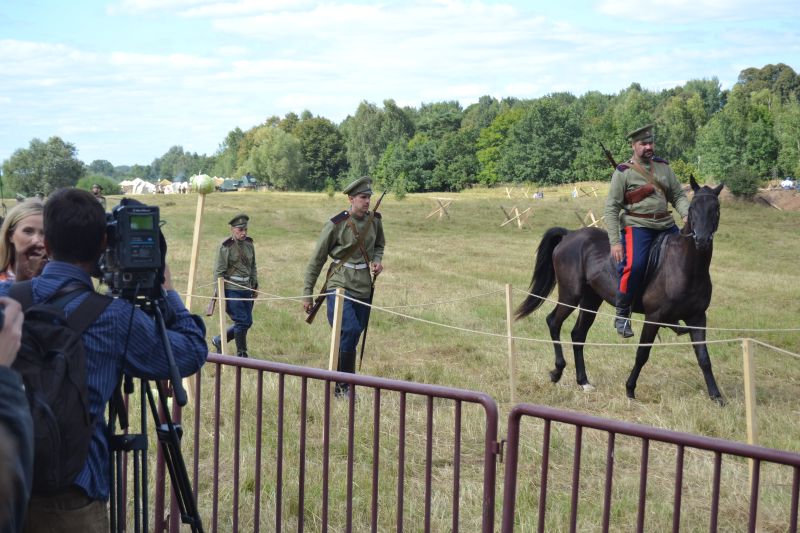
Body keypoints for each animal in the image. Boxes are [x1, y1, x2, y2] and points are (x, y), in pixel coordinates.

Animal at [516, 176, 728, 404]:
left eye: (716, 209)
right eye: (693, 208)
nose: (702, 240)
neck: (685, 266)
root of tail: (569, 235)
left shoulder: (697, 318)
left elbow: (704, 357)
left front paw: (716, 396)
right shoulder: (653, 318)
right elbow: (642, 354)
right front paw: (630, 389)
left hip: (591, 300)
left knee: (578, 334)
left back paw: (583, 381)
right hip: (570, 295)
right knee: (554, 322)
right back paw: (557, 371)